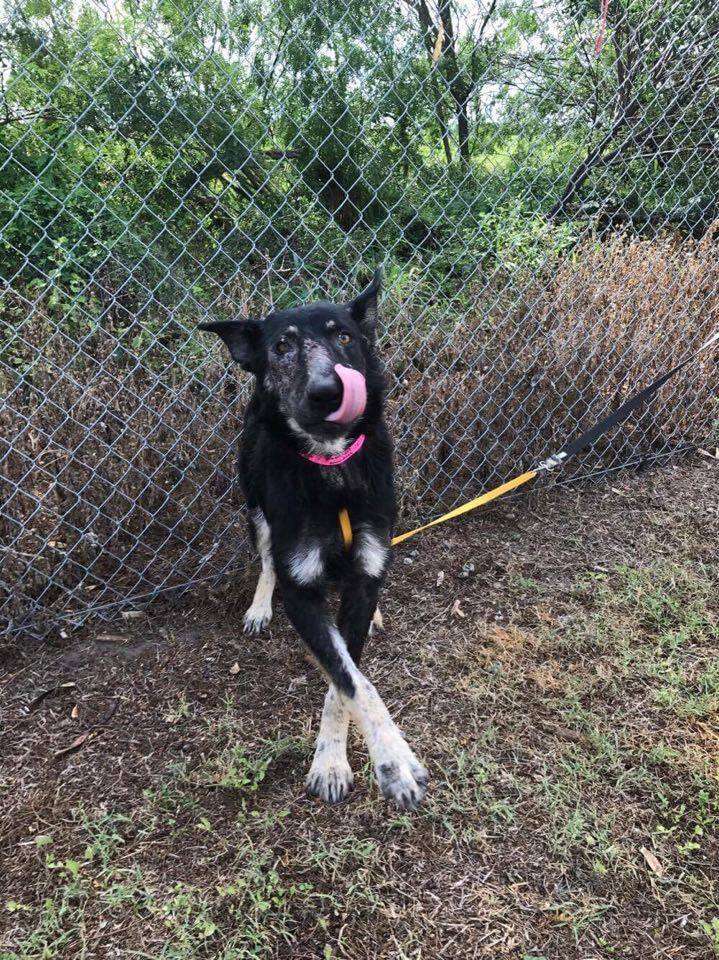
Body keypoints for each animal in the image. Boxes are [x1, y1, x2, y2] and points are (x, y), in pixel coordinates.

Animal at [198, 272, 428, 808]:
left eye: (343, 335)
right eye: (282, 346)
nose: (328, 391)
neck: (333, 465)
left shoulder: (367, 568)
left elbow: (346, 674)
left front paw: (336, 758)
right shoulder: (301, 590)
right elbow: (351, 680)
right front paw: (391, 760)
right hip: (255, 507)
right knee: (265, 562)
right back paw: (260, 607)